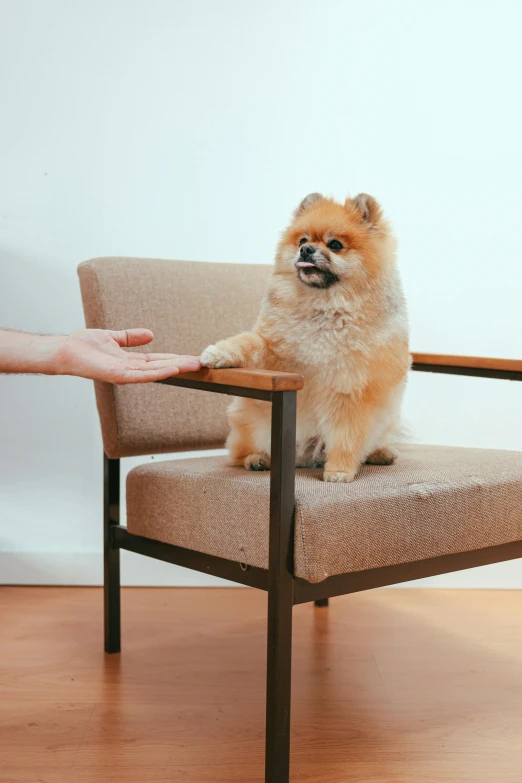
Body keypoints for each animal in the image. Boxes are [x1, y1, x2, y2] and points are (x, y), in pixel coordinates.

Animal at [201, 192, 408, 480]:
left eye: (335, 245)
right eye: (302, 240)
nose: (306, 250)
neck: (324, 308)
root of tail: (305, 458)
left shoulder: (352, 389)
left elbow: (347, 436)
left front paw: (339, 470)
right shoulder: (274, 351)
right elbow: (246, 343)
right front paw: (217, 354)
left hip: (387, 416)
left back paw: (380, 453)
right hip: (250, 421)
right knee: (238, 453)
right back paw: (258, 459)